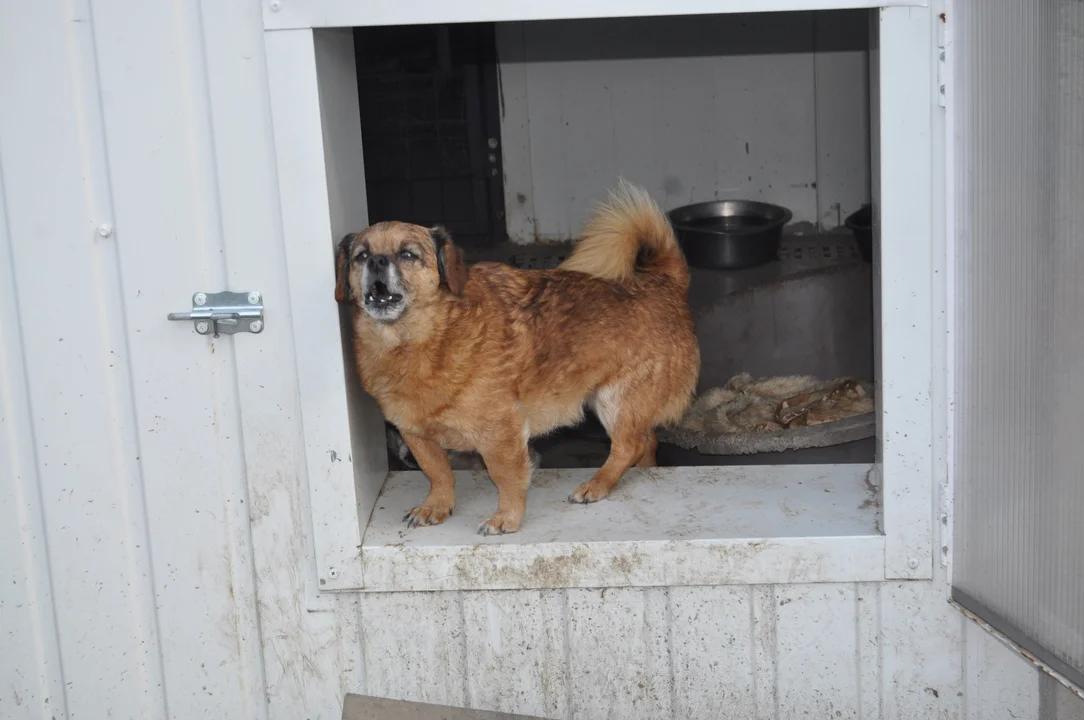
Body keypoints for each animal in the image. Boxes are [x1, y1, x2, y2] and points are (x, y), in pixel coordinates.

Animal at [338, 183, 702, 533]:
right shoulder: (415, 435)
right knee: (646, 440)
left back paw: (597, 484)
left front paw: (507, 519)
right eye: (361, 255)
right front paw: (437, 506)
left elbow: (505, 477)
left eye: (407, 254)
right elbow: (439, 473)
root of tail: (666, 282)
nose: (376, 261)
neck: (418, 341)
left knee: (629, 445)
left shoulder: (501, 433)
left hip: (615, 400)